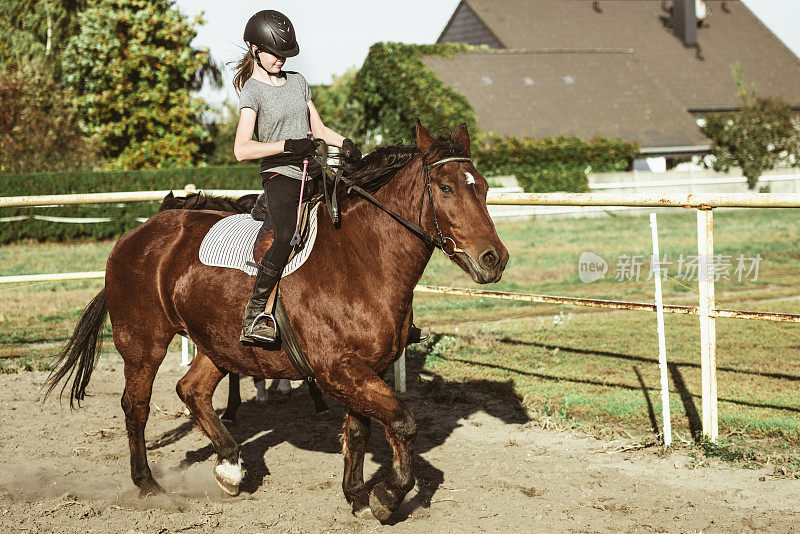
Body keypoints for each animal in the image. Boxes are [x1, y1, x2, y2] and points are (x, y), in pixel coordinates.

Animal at [45, 122, 506, 524]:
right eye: (446, 188)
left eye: (482, 187)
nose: (494, 259)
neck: (362, 259)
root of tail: (136, 236)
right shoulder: (338, 368)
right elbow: (403, 424)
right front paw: (386, 496)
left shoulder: (363, 370)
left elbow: (359, 432)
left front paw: (356, 495)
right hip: (144, 344)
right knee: (136, 407)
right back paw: (148, 485)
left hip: (219, 344)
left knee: (191, 390)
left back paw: (230, 466)